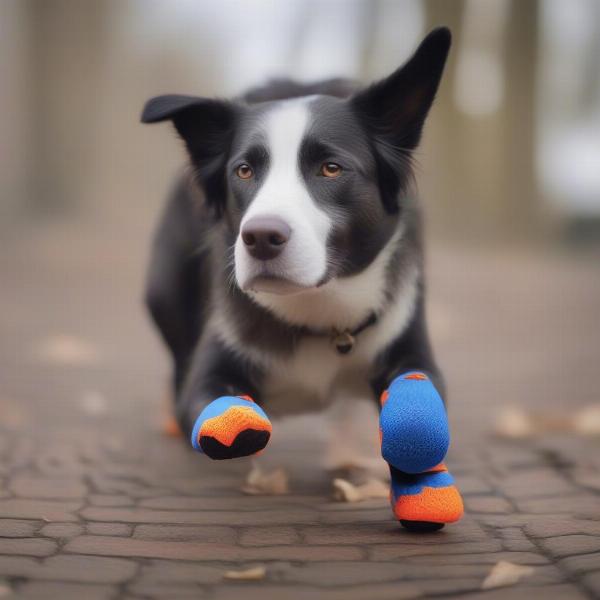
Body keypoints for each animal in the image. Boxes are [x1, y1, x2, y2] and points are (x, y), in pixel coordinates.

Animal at [141, 27, 464, 528]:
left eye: (331, 168)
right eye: (244, 170)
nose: (260, 237)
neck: (318, 315)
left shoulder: (409, 346)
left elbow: (417, 417)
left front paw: (422, 494)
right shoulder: (212, 370)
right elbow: (221, 410)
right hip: (164, 294)